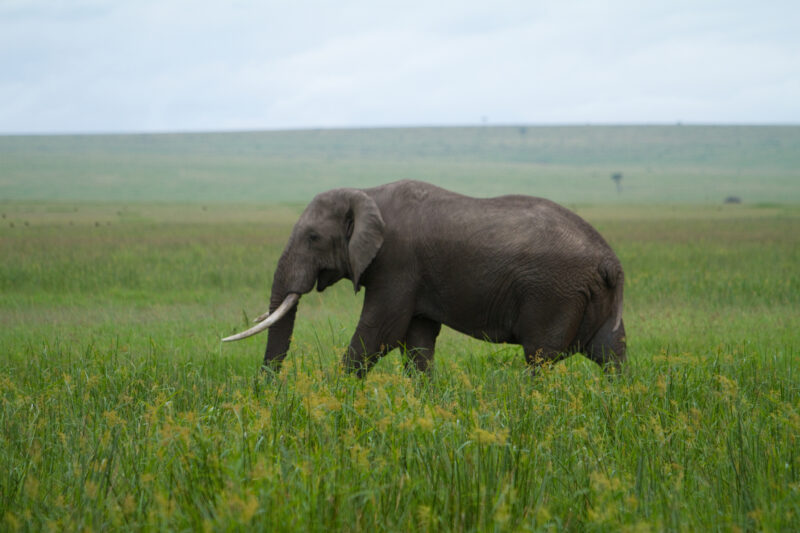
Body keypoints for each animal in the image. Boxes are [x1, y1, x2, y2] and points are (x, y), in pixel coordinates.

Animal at [223, 180, 626, 377]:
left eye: (312, 238)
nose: (267, 391)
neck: (367, 194)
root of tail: (611, 262)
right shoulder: (413, 276)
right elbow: (416, 341)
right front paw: (428, 402)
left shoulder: (397, 262)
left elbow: (380, 333)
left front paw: (332, 396)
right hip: (589, 297)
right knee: (610, 352)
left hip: (553, 294)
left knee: (540, 357)